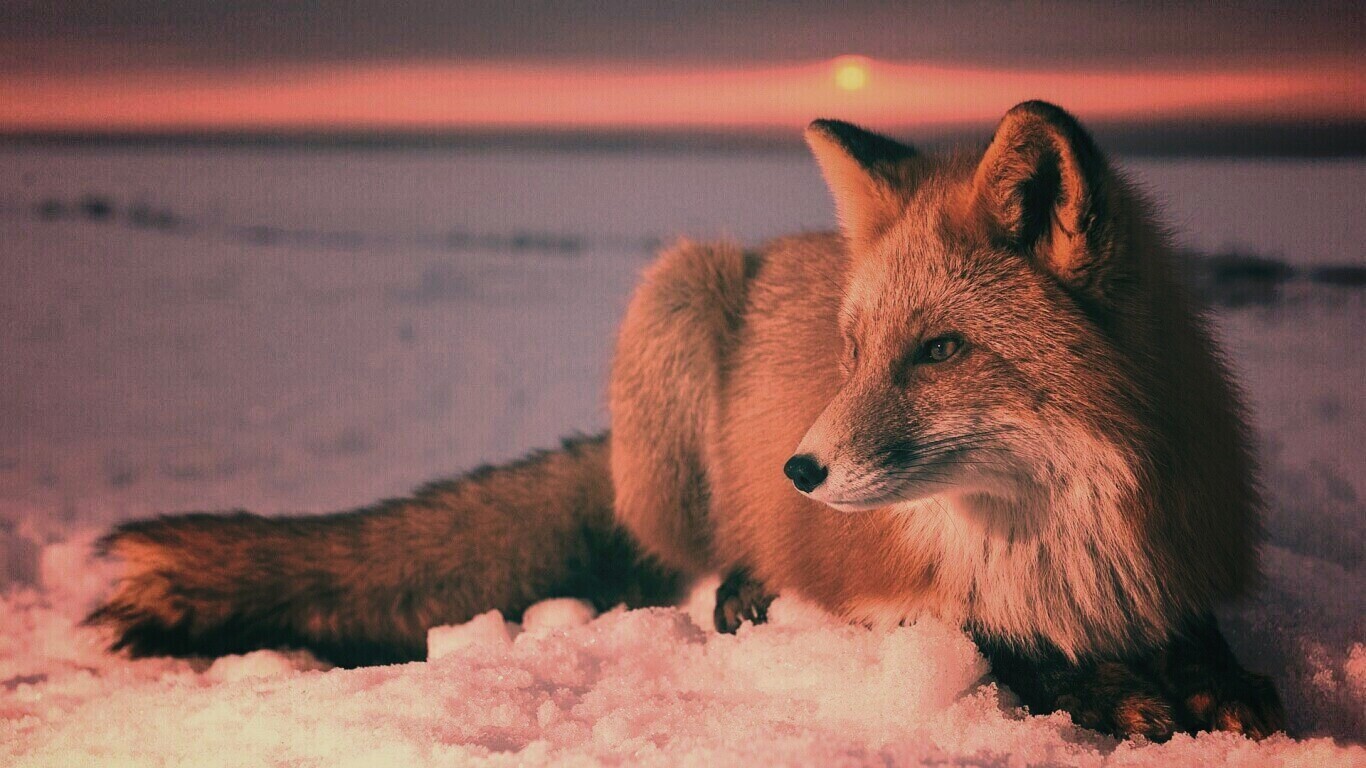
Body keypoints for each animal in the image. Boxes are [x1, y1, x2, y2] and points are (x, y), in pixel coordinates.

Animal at [87, 101, 1283, 741]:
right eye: (853, 353)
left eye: (940, 350)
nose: (800, 471)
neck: (1054, 542)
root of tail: (782, 245)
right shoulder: (880, 591)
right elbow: (994, 646)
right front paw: (1109, 694)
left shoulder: (1174, 559)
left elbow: (1201, 642)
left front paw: (1212, 686)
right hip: (675, 297)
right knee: (694, 561)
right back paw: (739, 589)